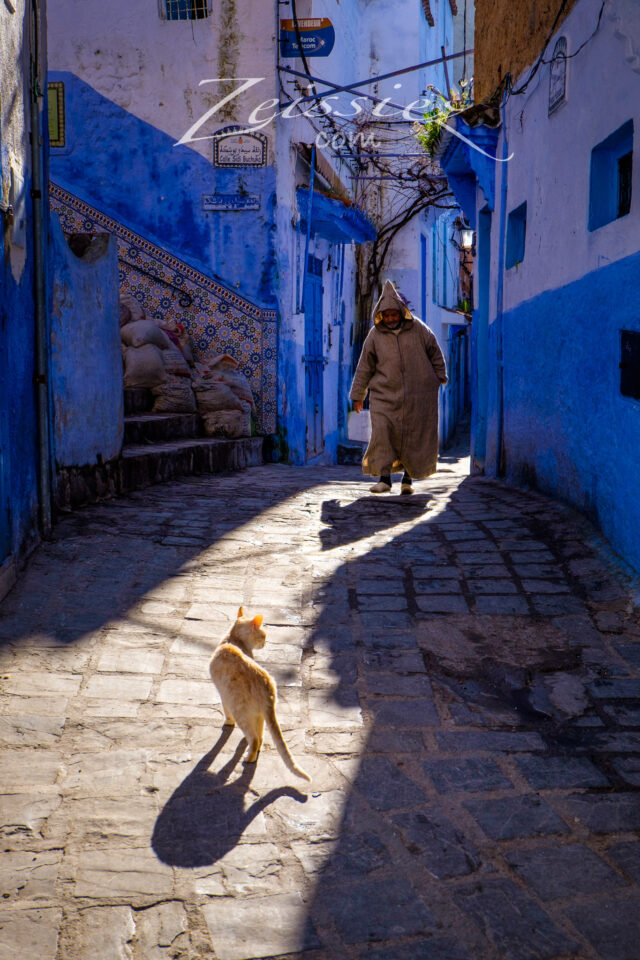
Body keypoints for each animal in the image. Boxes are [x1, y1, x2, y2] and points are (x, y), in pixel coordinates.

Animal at [209, 608, 312, 780]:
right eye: (263, 636)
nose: (265, 643)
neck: (232, 640)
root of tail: (267, 686)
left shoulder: (222, 693)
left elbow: (226, 711)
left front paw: (228, 723)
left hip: (240, 711)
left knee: (255, 738)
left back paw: (249, 758)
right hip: (260, 714)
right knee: (261, 735)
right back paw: (253, 750)